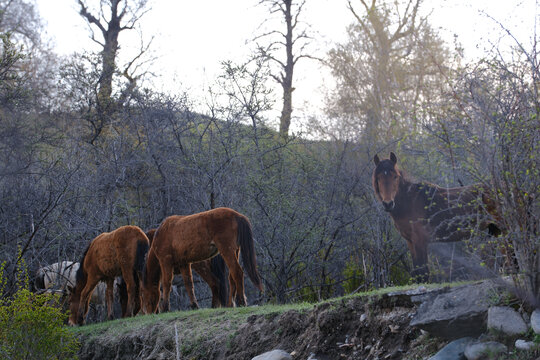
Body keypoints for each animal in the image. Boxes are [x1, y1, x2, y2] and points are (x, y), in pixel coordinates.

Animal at [374, 152, 500, 282]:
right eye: (378, 178)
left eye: (395, 177)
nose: (388, 204)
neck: (410, 202)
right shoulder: (411, 242)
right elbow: (418, 270)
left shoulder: (420, 241)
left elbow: (424, 271)